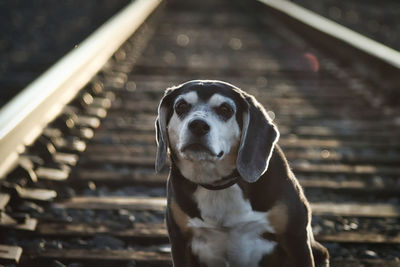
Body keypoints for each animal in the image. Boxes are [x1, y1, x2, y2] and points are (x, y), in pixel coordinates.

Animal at [155, 80, 330, 266]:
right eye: (181, 106)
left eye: (225, 109)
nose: (198, 125)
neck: (218, 185)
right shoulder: (180, 242)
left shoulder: (296, 240)